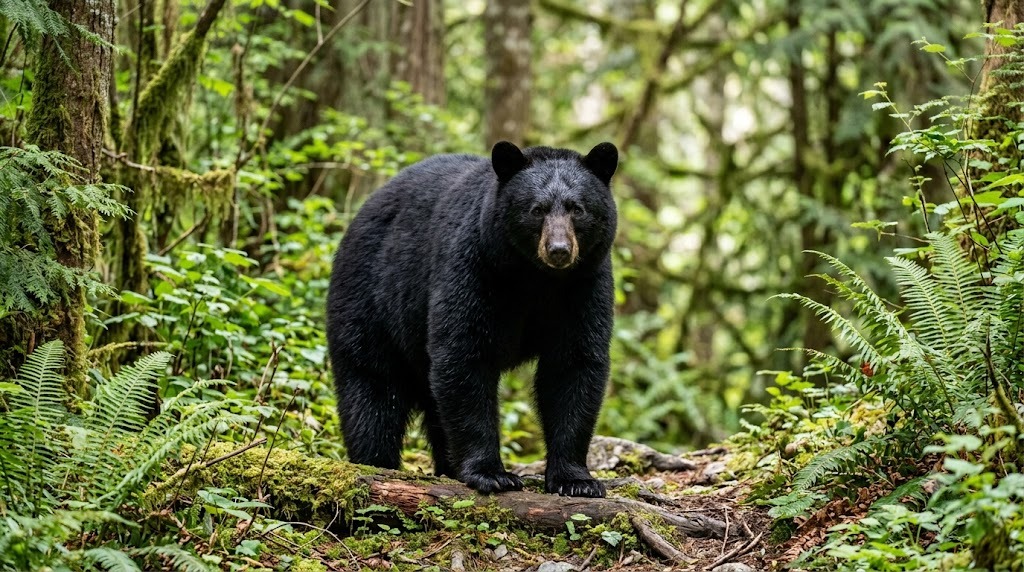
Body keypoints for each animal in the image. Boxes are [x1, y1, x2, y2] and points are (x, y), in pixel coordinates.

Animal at [326, 141, 618, 498]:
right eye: (537, 209)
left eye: (577, 209)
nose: (559, 250)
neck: (535, 278)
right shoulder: (474, 266)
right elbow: (464, 356)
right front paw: (491, 474)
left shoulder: (584, 285)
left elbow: (573, 366)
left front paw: (576, 480)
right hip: (371, 299)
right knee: (373, 389)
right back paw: (376, 463)